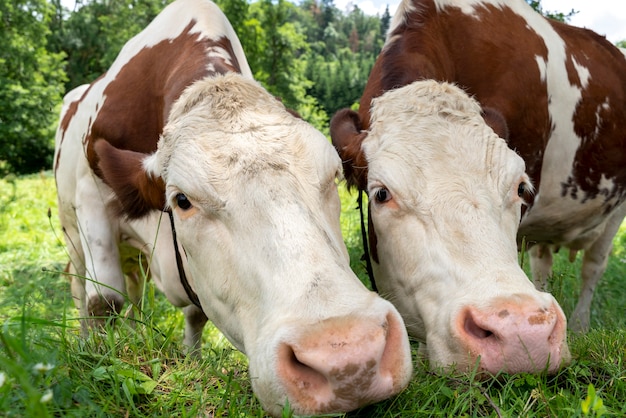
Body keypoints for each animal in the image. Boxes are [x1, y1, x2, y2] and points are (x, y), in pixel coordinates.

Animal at [53, 0, 412, 414]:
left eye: (332, 176)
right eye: (182, 200)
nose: (349, 357)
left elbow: (194, 312)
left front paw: (190, 362)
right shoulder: (91, 198)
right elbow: (103, 300)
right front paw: (100, 357)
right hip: (71, 233)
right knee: (81, 285)